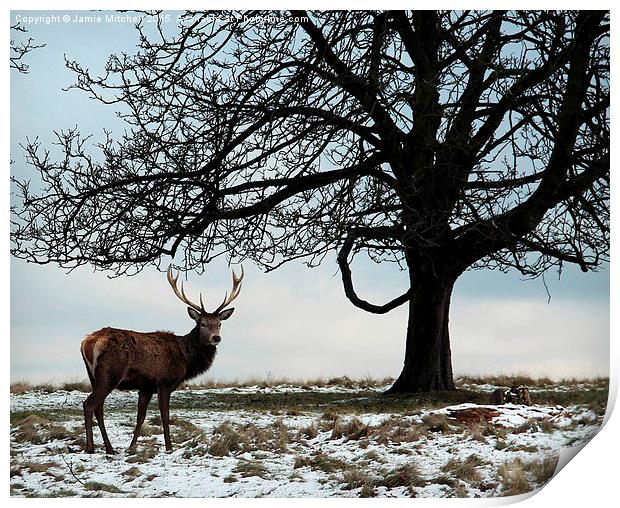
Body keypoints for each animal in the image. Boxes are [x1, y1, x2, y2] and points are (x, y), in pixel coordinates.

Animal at [78, 268, 242, 454]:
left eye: (219, 323)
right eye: (202, 323)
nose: (216, 338)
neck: (186, 358)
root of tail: (87, 342)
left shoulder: (146, 387)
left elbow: (141, 417)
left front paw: (132, 446)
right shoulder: (164, 381)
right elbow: (165, 415)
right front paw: (169, 448)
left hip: (93, 376)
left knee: (98, 408)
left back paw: (110, 448)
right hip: (110, 374)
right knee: (89, 404)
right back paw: (90, 448)